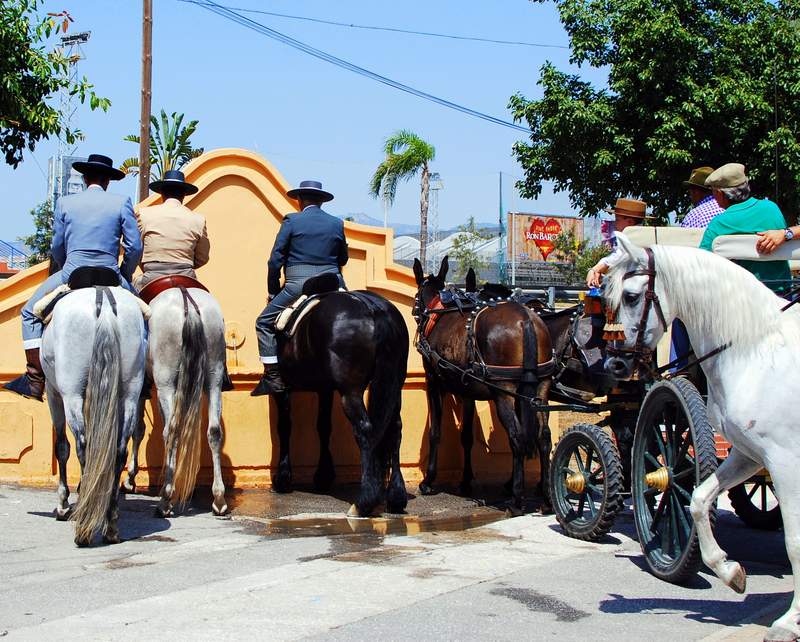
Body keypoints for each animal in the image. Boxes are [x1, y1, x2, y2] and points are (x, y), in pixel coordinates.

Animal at [123, 276, 228, 516]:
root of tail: (186, 299)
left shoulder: (141, 386)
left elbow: (137, 429)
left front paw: (130, 478)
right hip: (215, 374)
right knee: (214, 431)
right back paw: (219, 498)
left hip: (165, 381)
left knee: (172, 431)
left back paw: (165, 498)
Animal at [270, 284, 410, 516]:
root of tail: (374, 309)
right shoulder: (325, 388)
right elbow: (323, 426)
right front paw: (323, 475)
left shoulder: (283, 388)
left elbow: (284, 426)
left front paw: (282, 478)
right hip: (395, 385)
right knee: (395, 429)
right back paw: (396, 497)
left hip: (350, 391)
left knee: (364, 429)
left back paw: (364, 501)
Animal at [410, 258, 552, 512]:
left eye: (416, 297)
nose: (416, 314)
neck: (437, 311)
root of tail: (526, 320)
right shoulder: (467, 391)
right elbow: (466, 436)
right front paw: (466, 481)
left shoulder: (434, 383)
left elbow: (436, 432)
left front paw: (428, 480)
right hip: (540, 388)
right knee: (543, 437)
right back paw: (546, 496)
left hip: (504, 392)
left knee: (517, 436)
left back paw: (516, 498)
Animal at [608, 234, 800, 640]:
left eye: (631, 296)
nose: (615, 363)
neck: (756, 349)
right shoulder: (749, 454)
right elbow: (697, 499)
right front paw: (730, 571)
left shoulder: (785, 460)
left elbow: (794, 541)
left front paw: (788, 620)